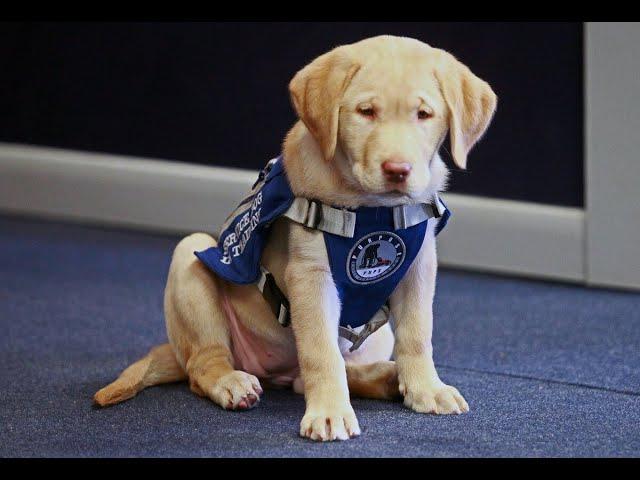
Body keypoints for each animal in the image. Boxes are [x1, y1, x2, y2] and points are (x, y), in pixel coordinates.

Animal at [94, 35, 496, 442]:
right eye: (366, 112)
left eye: (424, 115)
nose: (398, 170)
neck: (373, 210)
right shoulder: (310, 276)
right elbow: (320, 350)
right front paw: (330, 413)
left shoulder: (418, 268)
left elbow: (417, 333)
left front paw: (427, 389)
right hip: (188, 261)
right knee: (204, 363)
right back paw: (231, 383)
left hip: (375, 337)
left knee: (319, 375)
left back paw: (385, 378)